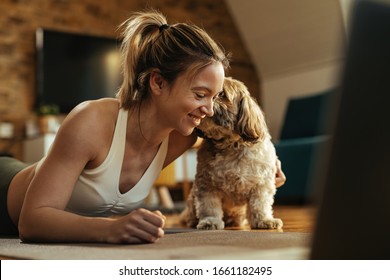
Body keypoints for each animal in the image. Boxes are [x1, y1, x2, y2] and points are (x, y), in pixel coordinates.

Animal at [180, 76, 284, 230]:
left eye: (221, 94)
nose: (201, 99)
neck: (231, 145)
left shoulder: (262, 184)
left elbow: (260, 205)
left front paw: (264, 220)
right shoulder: (207, 184)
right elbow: (209, 206)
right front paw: (210, 221)